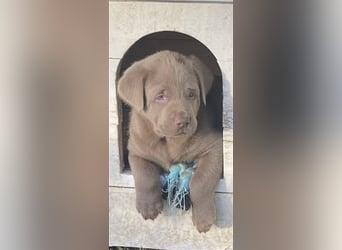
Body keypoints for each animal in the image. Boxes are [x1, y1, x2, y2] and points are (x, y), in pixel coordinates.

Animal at [117, 50, 223, 232]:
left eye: (191, 94)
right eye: (160, 96)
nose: (184, 121)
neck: (168, 141)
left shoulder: (215, 147)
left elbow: (201, 181)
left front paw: (204, 218)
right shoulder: (137, 150)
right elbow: (144, 174)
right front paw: (148, 207)